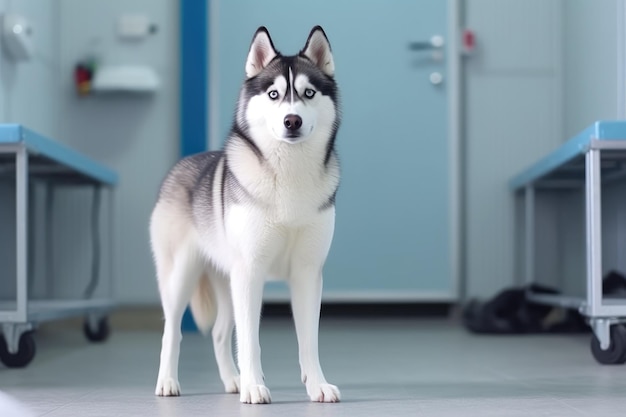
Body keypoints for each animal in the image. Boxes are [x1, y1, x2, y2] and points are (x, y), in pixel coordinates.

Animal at [151, 26, 342, 404]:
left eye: (308, 93)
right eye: (273, 94)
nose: (292, 120)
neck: (288, 174)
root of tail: (179, 165)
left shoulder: (307, 273)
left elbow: (308, 340)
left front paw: (316, 385)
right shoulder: (251, 271)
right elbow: (250, 340)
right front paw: (255, 386)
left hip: (228, 281)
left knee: (220, 333)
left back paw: (233, 380)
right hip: (182, 276)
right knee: (173, 331)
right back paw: (168, 382)